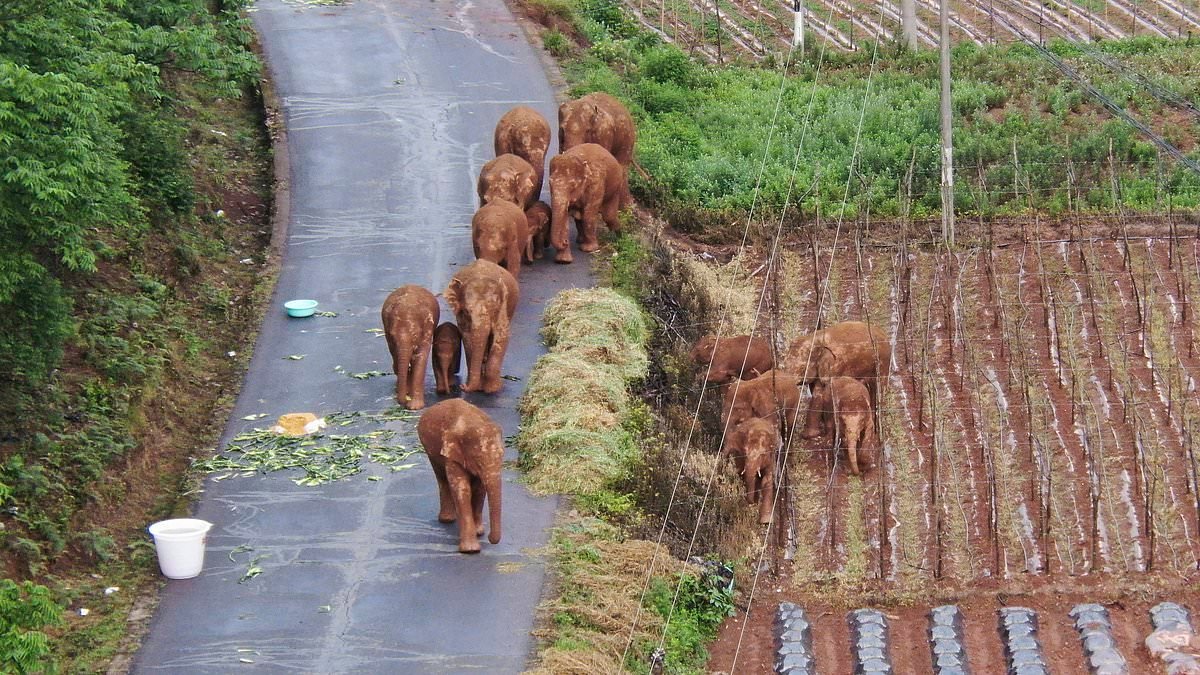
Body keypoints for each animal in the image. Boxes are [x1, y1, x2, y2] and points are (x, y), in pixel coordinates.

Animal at [416, 398, 503, 553]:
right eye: (478, 460)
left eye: (502, 456)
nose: (488, 537)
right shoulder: (451, 454)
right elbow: (463, 489)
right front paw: (471, 550)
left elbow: (479, 490)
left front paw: (479, 532)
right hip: (428, 449)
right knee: (442, 478)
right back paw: (447, 520)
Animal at [444, 259, 519, 394]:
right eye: (467, 311)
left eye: (493, 310)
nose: (462, 386)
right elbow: (468, 338)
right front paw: (479, 387)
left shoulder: (503, 308)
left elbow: (502, 336)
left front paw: (492, 389)